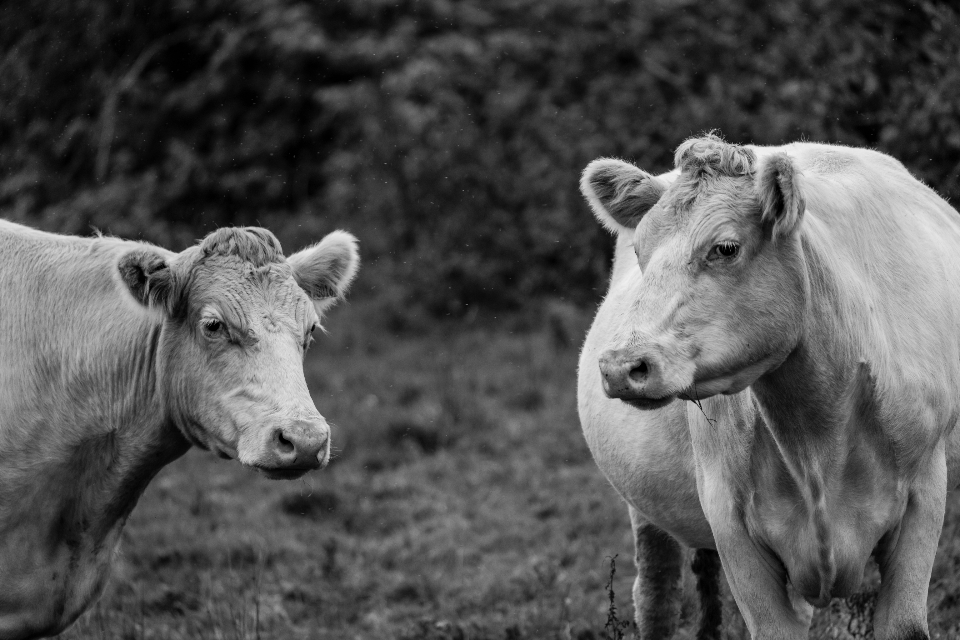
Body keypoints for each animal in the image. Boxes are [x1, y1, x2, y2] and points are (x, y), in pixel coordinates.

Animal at [579, 135, 960, 640]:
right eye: (640, 251)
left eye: (725, 247)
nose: (621, 366)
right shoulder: (730, 522)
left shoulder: (924, 496)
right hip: (645, 508)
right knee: (657, 596)